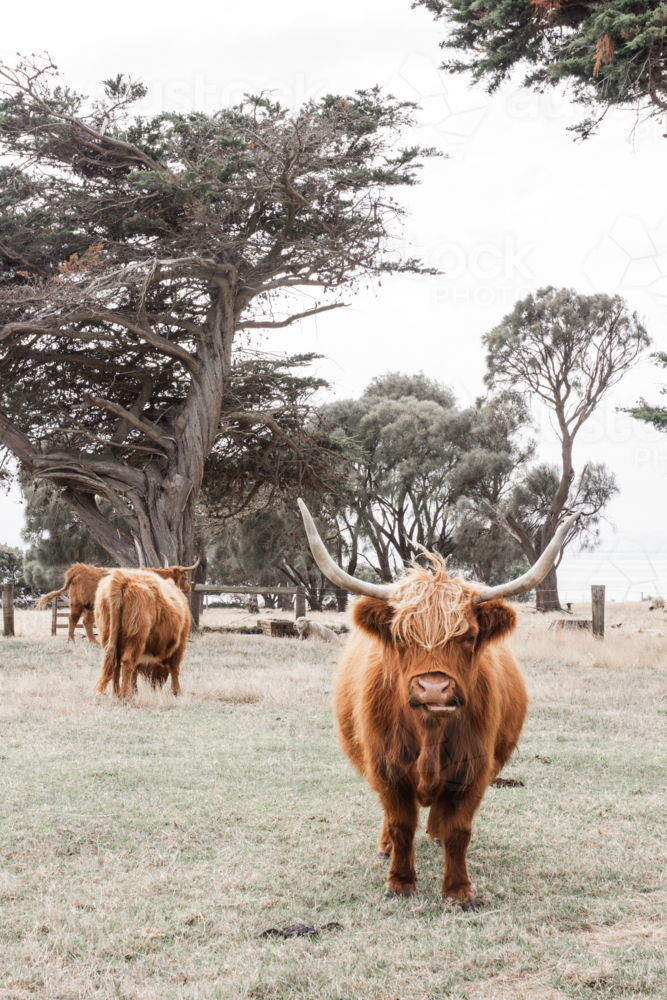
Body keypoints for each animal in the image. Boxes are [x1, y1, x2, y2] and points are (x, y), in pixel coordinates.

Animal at [94, 569, 191, 699]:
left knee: (115, 664)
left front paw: (134, 690)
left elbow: (135, 668)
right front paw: (176, 692)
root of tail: (121, 579)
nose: (156, 685)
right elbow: (175, 667)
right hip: (136, 637)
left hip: (107, 636)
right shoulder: (181, 641)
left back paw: (116, 693)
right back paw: (125, 696)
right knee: (128, 662)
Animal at [297, 499, 579, 909]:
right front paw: (399, 883)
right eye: (401, 637)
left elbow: (459, 831)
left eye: (469, 636)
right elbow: (400, 824)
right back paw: (386, 846)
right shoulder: (386, 768)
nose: (433, 690)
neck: (429, 733)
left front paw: (459, 891)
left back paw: (433, 833)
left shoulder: (473, 770)